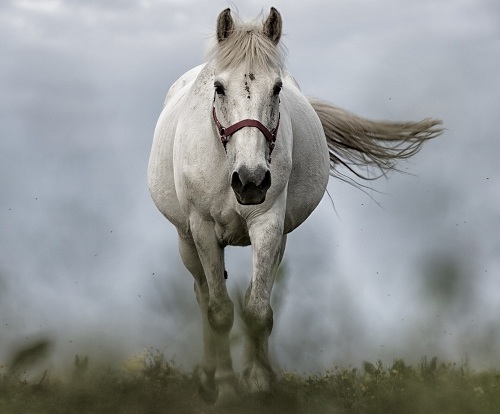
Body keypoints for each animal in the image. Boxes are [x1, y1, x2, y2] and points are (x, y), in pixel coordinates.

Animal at [147, 8, 442, 402]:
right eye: (219, 87)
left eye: (276, 88)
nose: (251, 180)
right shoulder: (203, 230)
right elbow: (220, 311)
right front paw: (225, 389)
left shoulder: (269, 224)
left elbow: (257, 310)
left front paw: (258, 383)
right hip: (186, 239)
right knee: (202, 295)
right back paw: (208, 377)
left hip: (278, 240)